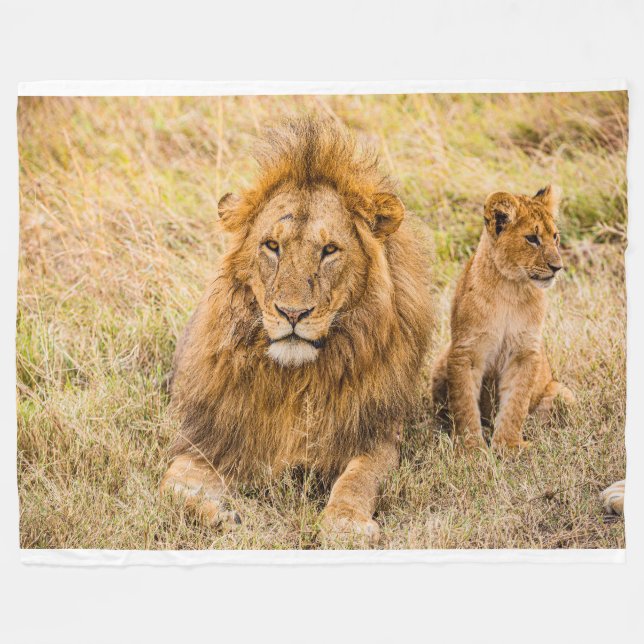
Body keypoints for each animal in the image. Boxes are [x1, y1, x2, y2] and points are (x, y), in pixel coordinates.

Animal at [160, 117, 434, 542]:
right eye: (272, 245)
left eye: (330, 250)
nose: (292, 313)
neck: (296, 381)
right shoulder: (210, 438)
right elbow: (170, 488)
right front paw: (222, 516)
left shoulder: (378, 434)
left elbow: (358, 478)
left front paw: (345, 524)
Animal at [431, 185, 575, 450]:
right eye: (532, 238)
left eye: (555, 237)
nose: (558, 267)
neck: (511, 288)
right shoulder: (466, 351)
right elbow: (465, 404)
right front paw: (471, 450)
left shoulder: (525, 351)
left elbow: (516, 403)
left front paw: (508, 447)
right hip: (440, 362)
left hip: (564, 394)